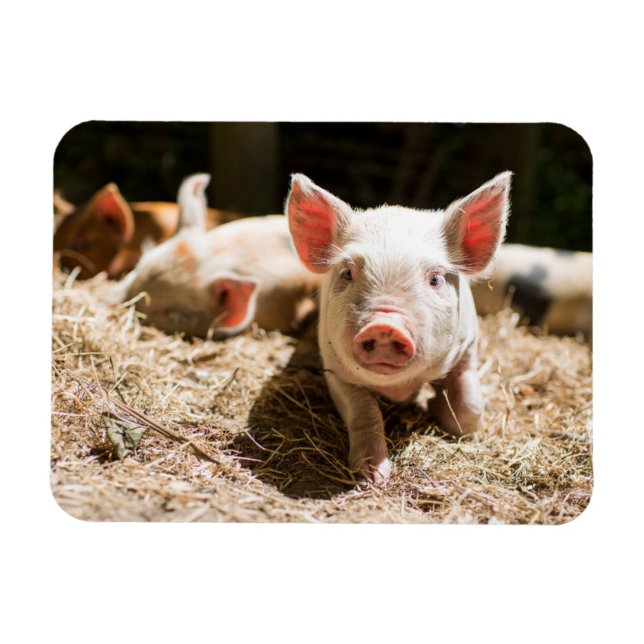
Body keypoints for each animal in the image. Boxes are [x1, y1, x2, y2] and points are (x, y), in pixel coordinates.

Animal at [285, 172, 512, 481]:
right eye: (347, 273)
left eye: (435, 279)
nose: (384, 325)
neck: (399, 388)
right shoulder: (334, 369)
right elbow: (365, 412)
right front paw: (372, 477)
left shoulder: (467, 348)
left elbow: (469, 410)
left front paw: (437, 408)